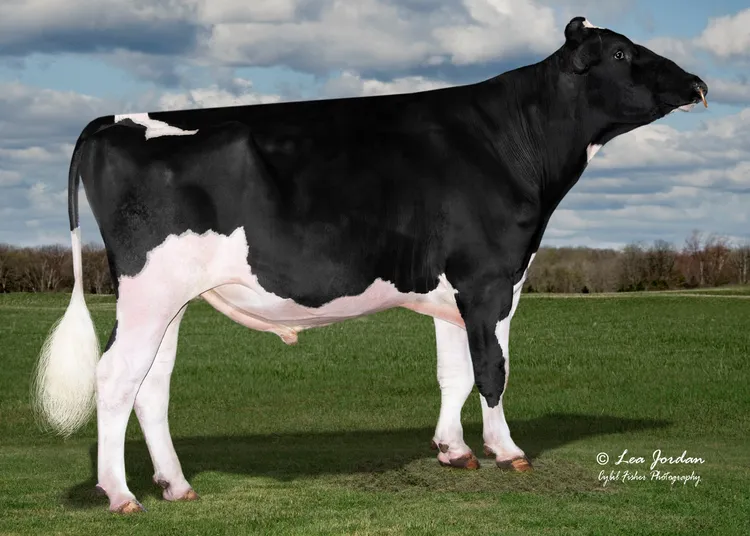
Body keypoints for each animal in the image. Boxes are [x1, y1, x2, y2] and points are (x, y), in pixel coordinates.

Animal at [32, 17, 707, 514]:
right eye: (620, 52)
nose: (699, 83)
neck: (510, 141)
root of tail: (113, 119)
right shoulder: (491, 278)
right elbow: (492, 370)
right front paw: (506, 450)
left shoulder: (448, 291)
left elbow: (453, 372)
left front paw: (453, 450)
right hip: (149, 289)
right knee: (115, 377)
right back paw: (120, 494)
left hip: (167, 299)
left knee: (152, 383)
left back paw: (175, 485)